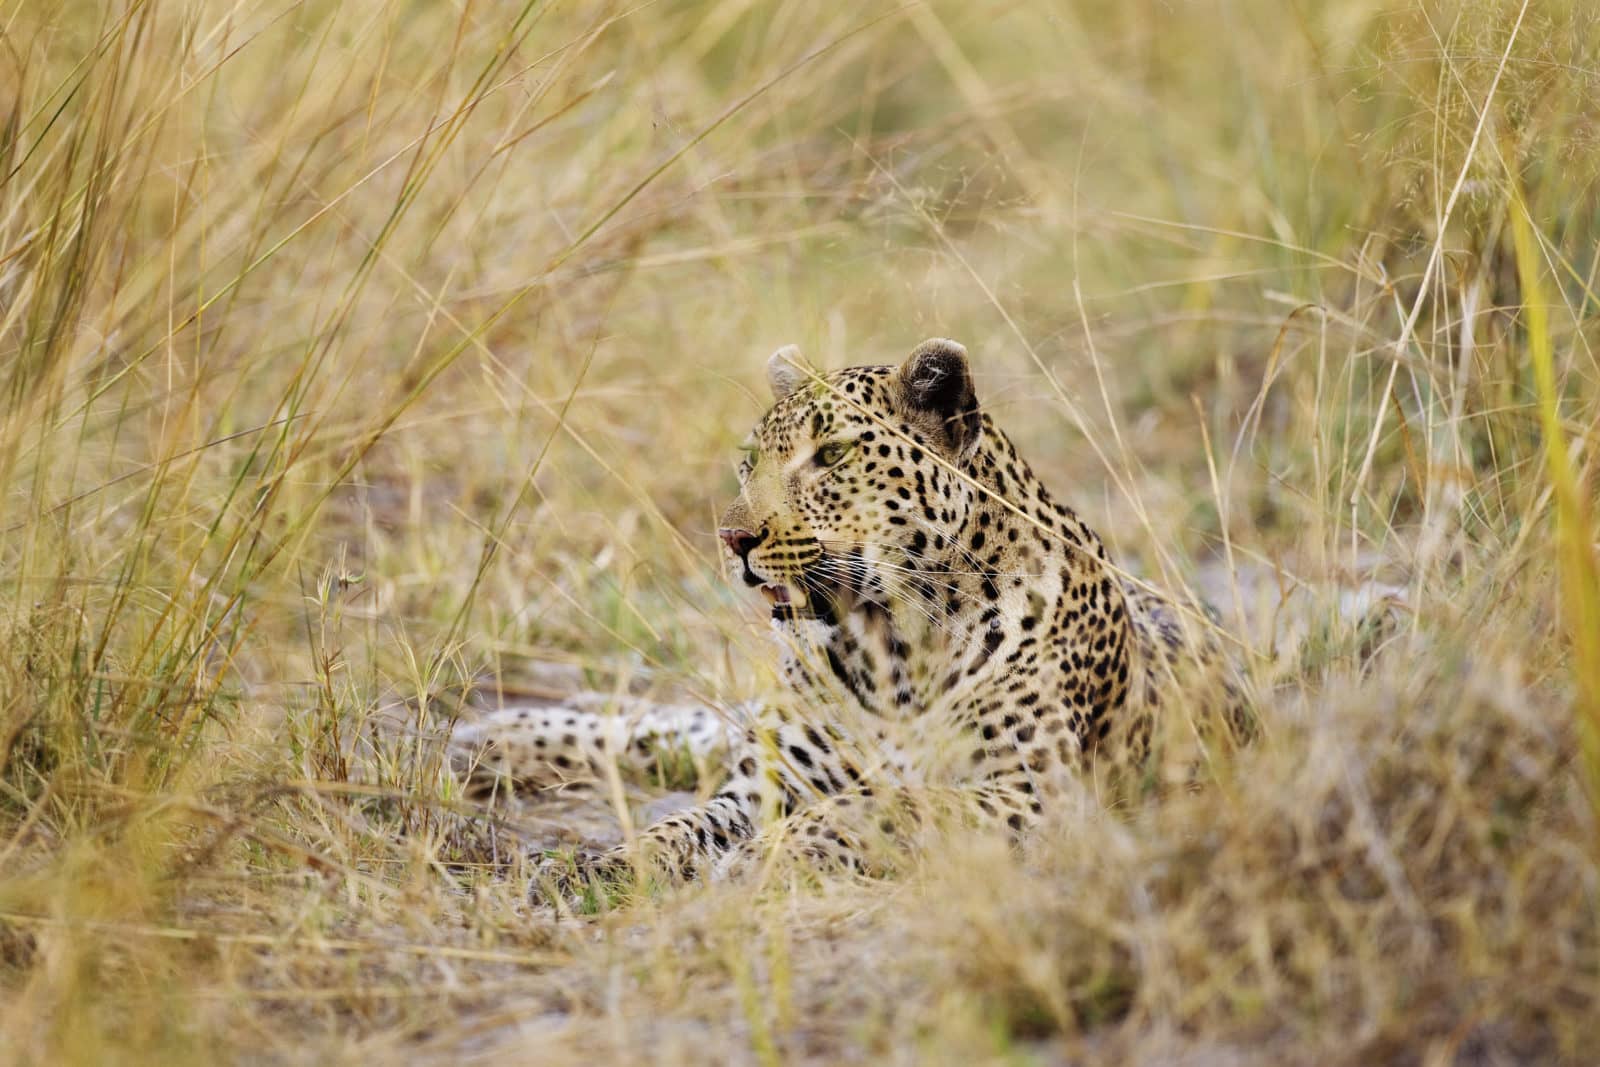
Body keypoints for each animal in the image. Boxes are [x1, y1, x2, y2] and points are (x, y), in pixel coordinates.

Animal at [452, 338, 1249, 889]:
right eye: (749, 461)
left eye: (831, 455)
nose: (732, 539)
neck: (890, 644)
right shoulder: (768, 786)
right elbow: (682, 822)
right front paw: (606, 863)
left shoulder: (1036, 790)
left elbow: (887, 804)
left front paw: (765, 860)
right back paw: (495, 736)